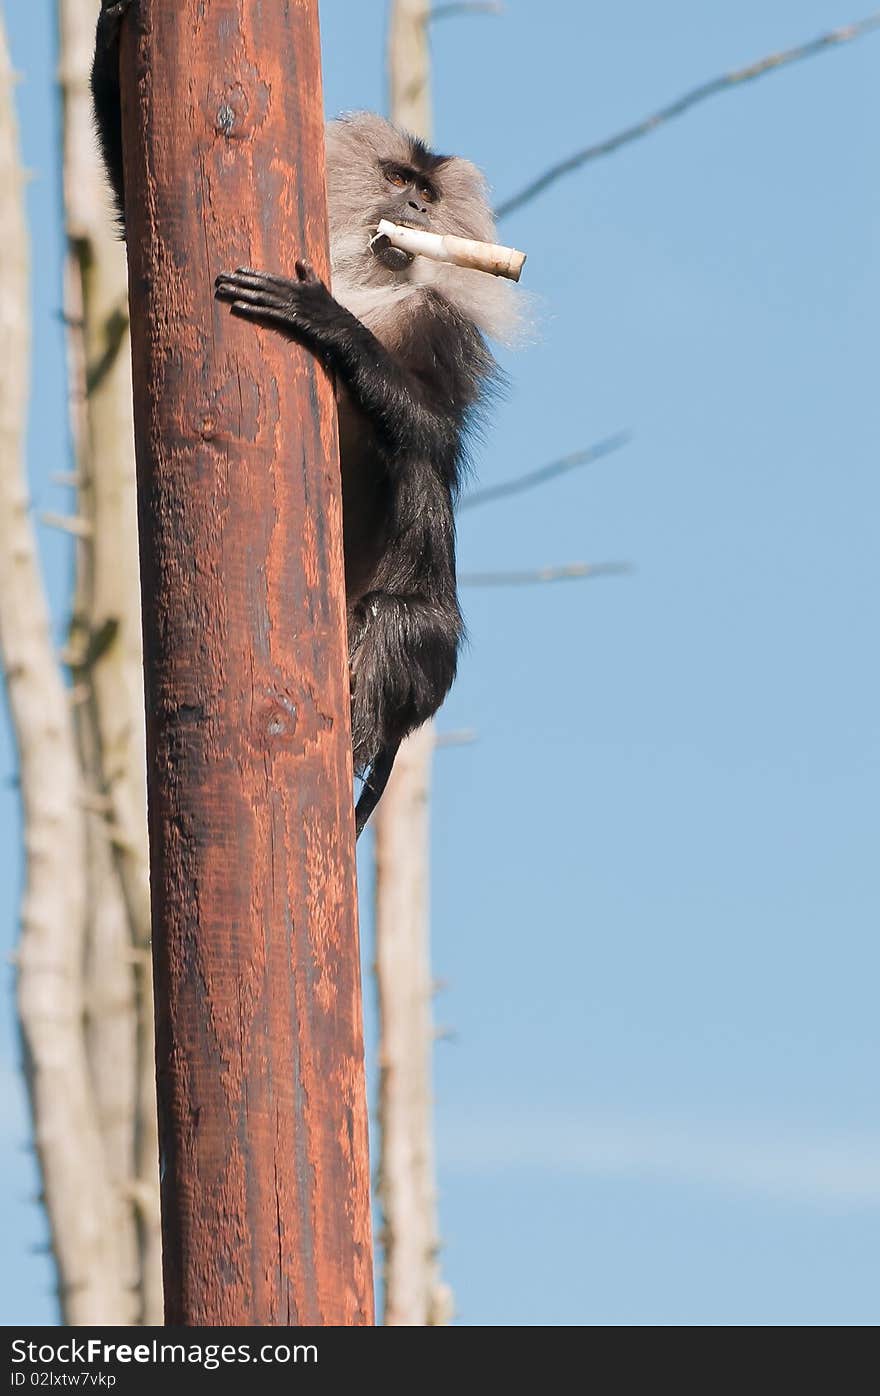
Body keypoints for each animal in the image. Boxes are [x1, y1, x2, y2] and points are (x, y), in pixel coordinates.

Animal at [91, 0, 516, 826]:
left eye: (427, 195)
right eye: (398, 179)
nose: (416, 207)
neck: (366, 280)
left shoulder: (443, 323)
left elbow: (435, 437)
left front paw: (330, 324)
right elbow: (136, 216)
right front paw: (111, 29)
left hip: (416, 641)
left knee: (390, 618)